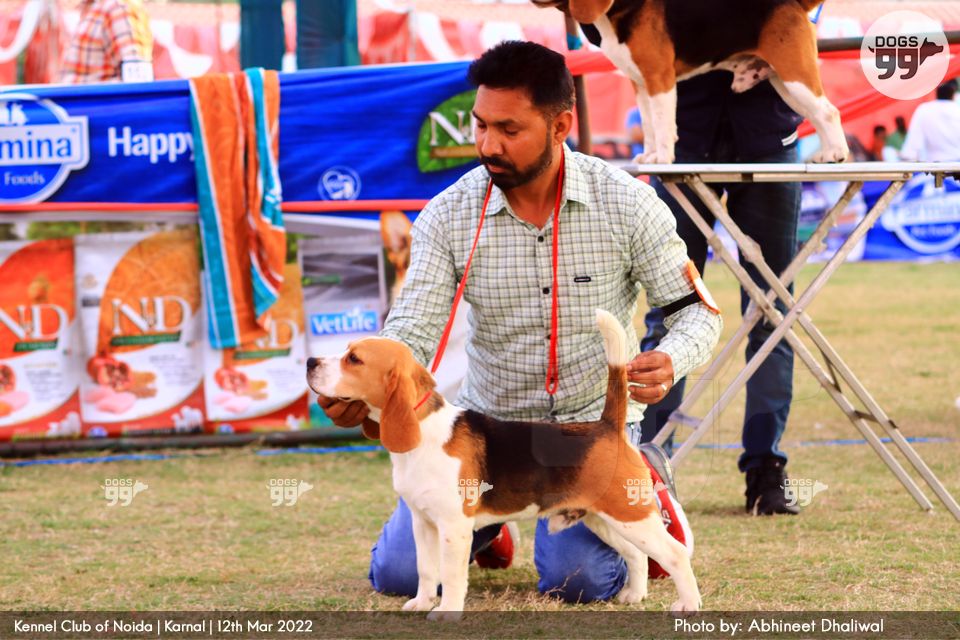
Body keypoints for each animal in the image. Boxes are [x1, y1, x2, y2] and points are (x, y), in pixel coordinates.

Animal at [306, 309, 701, 620]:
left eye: (354, 359)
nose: (310, 363)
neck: (423, 428)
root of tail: (606, 426)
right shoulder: (423, 523)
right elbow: (425, 569)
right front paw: (422, 602)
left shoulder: (453, 527)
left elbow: (451, 575)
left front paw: (446, 613)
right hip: (602, 518)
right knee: (636, 554)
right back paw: (633, 596)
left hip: (629, 515)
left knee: (676, 554)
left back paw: (689, 605)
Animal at [533, 0, 849, 164]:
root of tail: (794, 2)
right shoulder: (640, 84)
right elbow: (649, 126)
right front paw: (649, 156)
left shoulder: (659, 78)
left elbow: (663, 127)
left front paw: (662, 159)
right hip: (785, 84)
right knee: (817, 116)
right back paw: (827, 153)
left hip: (795, 74)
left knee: (828, 113)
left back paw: (837, 154)